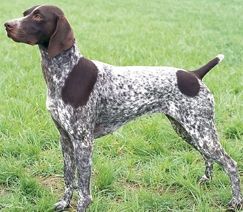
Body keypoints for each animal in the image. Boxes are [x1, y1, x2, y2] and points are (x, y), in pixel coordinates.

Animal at [4, 4, 243, 211]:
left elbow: (83, 190)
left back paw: (235, 201)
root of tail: (194, 75)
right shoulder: (65, 138)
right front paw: (64, 203)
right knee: (208, 157)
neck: (65, 72)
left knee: (230, 164)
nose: (7, 24)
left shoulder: (83, 142)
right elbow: (68, 177)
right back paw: (206, 179)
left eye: (38, 16)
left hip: (202, 132)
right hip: (187, 130)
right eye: (25, 13)